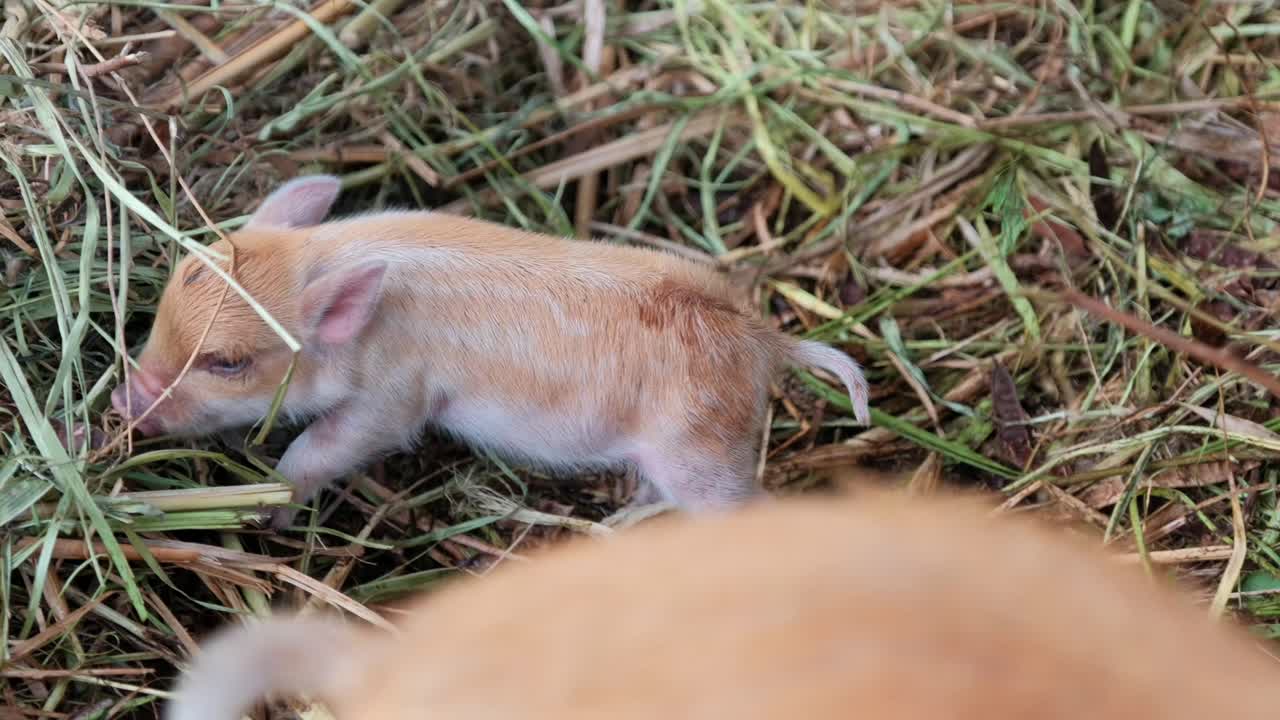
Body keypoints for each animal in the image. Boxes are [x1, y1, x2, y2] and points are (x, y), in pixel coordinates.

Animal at [110, 175, 870, 528]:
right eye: (164, 311)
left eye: (227, 362)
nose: (126, 401)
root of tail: (765, 339)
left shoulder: (396, 398)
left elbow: (322, 447)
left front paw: (268, 512)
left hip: (702, 452)